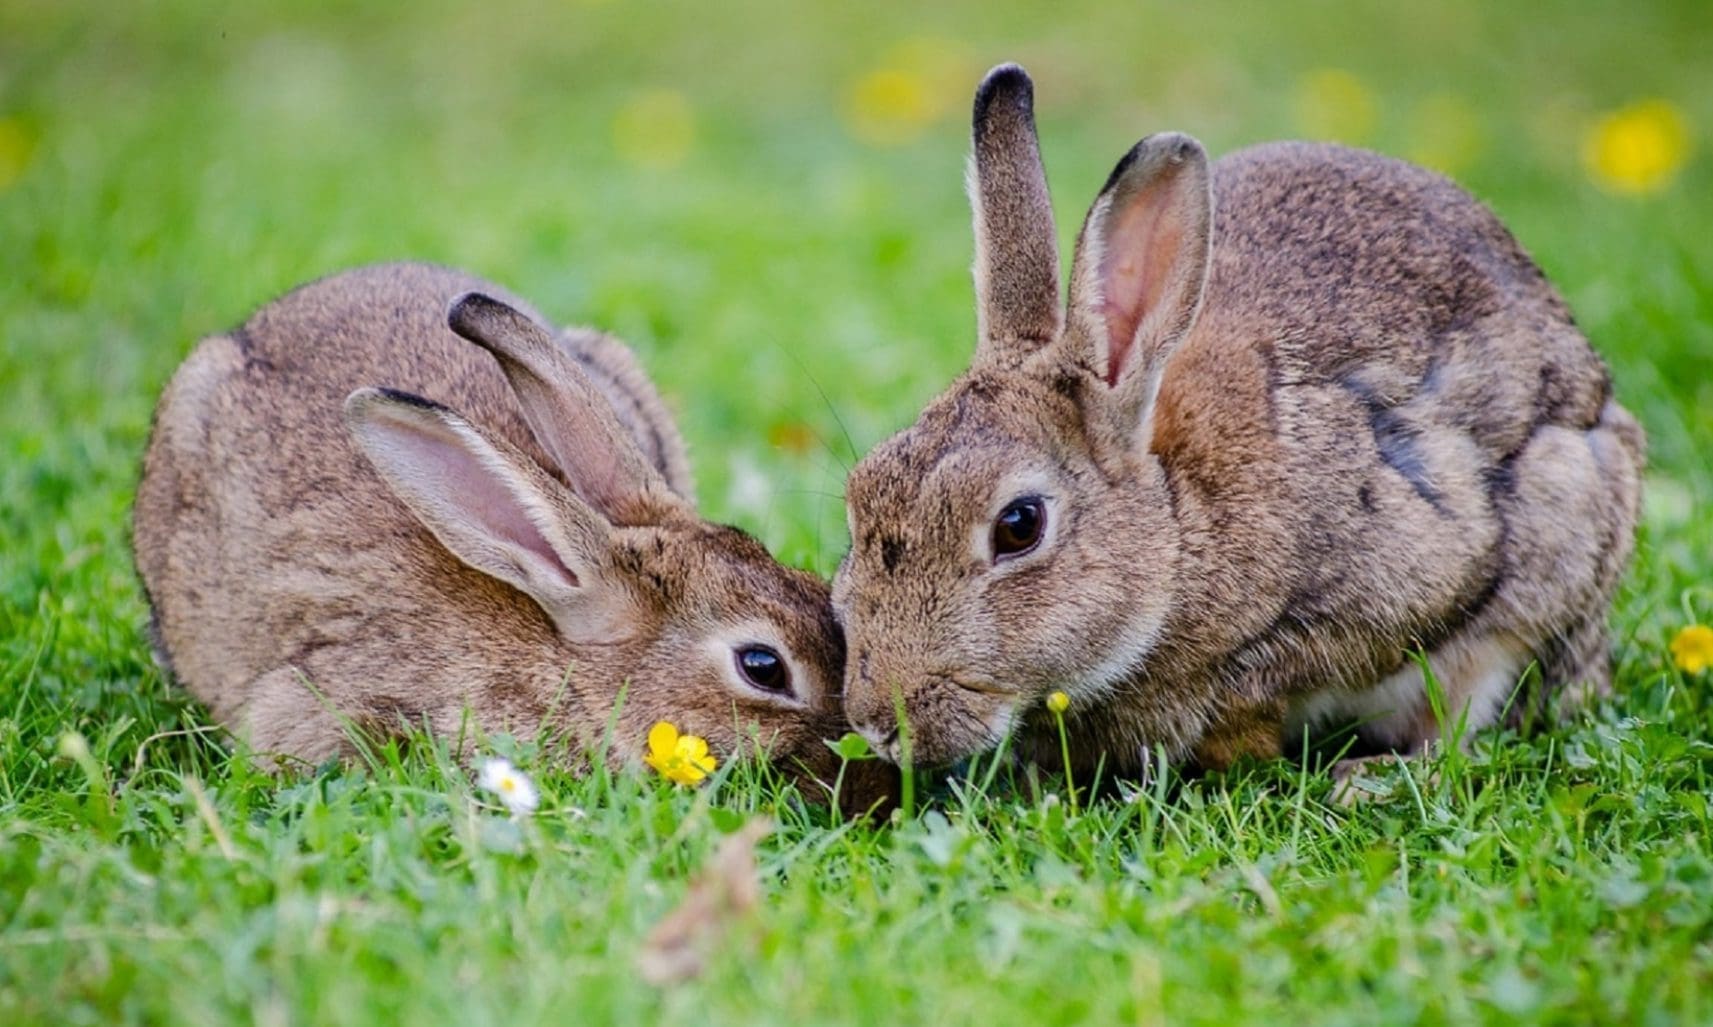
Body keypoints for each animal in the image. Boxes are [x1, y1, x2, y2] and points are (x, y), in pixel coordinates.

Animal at [831, 65, 1644, 786]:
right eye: (859, 495)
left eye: (1019, 525)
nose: (876, 720)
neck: (1175, 526)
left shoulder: (1408, 573)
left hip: (1559, 523)